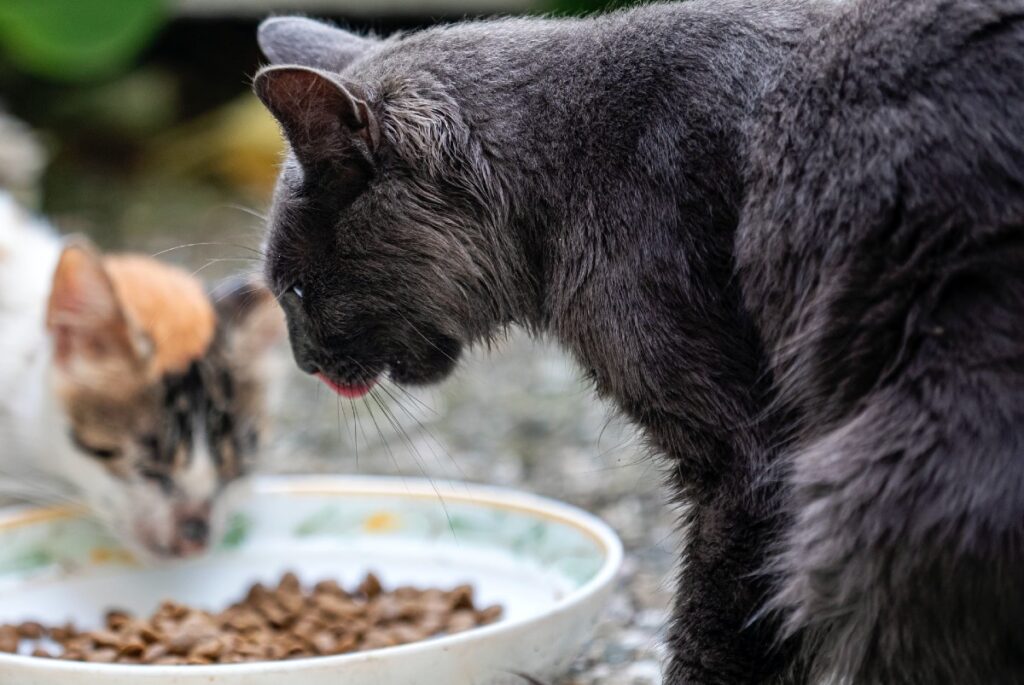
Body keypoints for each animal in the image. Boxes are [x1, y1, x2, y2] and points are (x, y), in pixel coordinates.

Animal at [251, 1, 1024, 679]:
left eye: (295, 291)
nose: (304, 361)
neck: (570, 163)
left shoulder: (750, 462)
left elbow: (717, 630)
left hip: (881, 478)